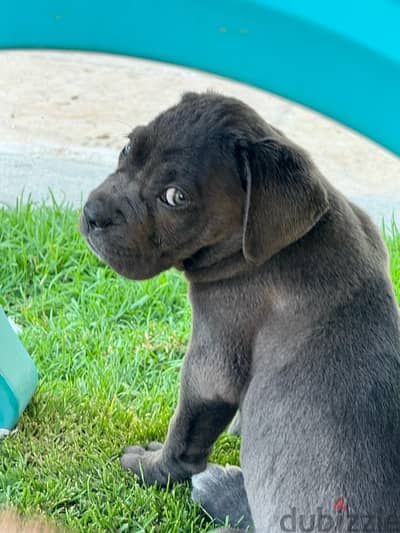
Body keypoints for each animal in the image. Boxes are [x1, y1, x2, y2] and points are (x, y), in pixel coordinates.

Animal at [80, 93, 400, 528]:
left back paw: (218, 487)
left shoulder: (211, 363)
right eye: (128, 147)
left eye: (175, 197)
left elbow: (184, 432)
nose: (92, 213)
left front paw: (150, 467)